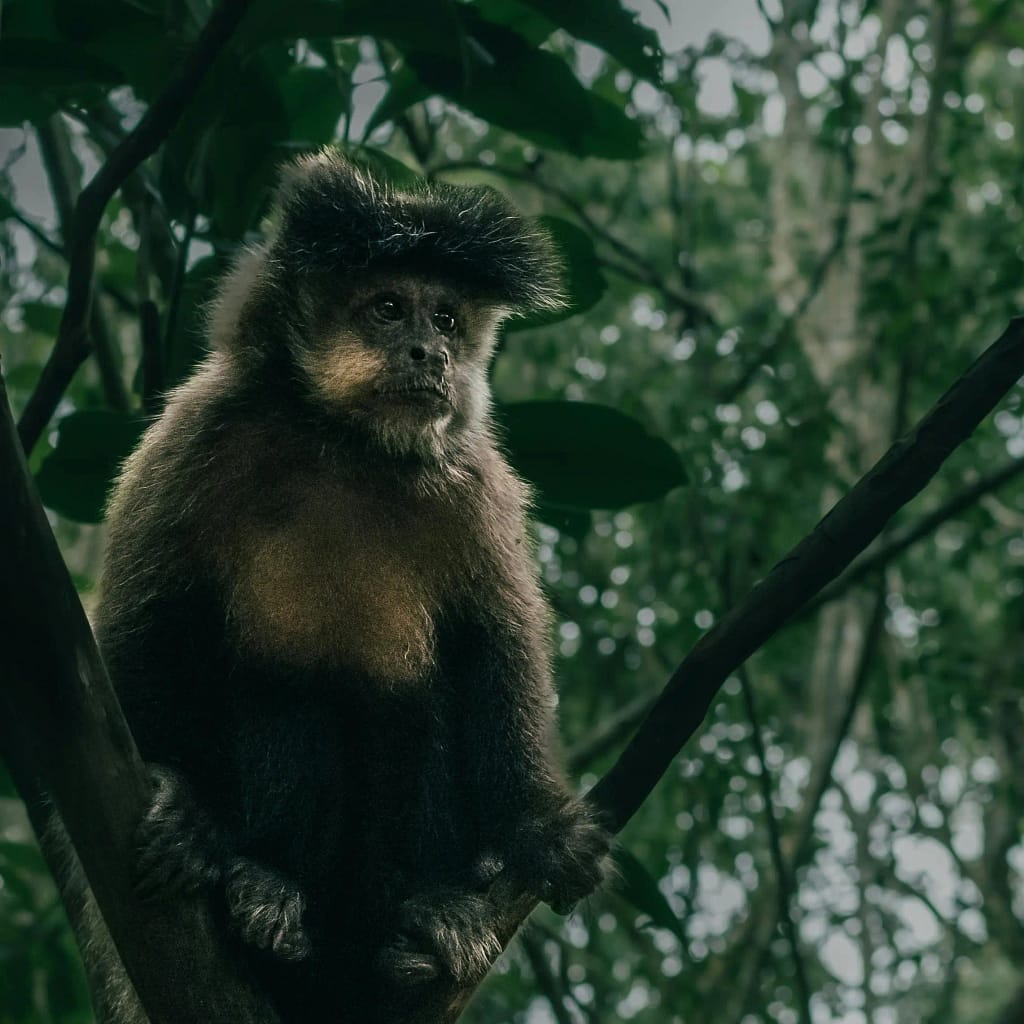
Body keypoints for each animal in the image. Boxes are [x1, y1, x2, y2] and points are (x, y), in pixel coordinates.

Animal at [72, 150, 611, 1023]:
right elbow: (141, 626)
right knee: (279, 688)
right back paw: (260, 893)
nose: (431, 356)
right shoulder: (198, 438)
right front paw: (183, 806)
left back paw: (431, 923)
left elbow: (496, 645)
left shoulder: (473, 487)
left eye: (447, 320)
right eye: (389, 309)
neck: (345, 450)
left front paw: (535, 830)